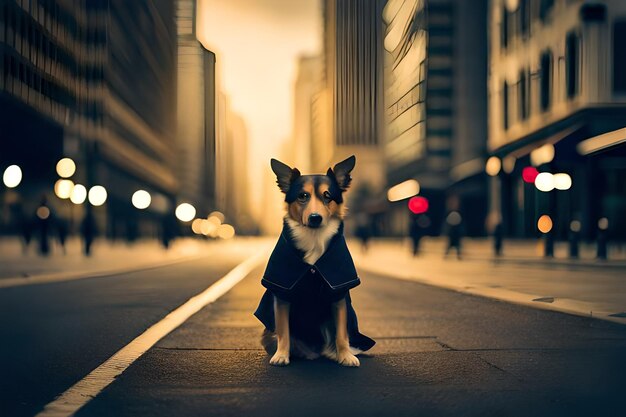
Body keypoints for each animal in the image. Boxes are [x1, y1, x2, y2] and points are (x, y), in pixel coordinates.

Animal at [252, 154, 372, 366]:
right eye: (302, 196)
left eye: (328, 196)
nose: (315, 218)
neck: (314, 238)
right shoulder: (282, 293)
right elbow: (284, 331)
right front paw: (282, 355)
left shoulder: (338, 293)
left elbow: (342, 333)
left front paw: (345, 356)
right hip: (267, 333)